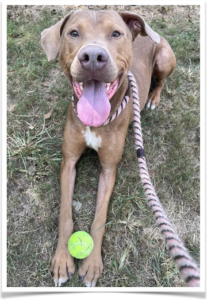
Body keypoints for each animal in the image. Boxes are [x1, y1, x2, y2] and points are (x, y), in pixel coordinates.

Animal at [41, 8, 175, 288]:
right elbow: (65, 215)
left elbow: (100, 218)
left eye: (116, 33)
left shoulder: (109, 169)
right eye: (73, 33)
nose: (93, 57)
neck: (97, 121)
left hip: (165, 57)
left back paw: (154, 98)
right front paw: (62, 260)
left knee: (162, 80)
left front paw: (92, 265)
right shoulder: (69, 161)